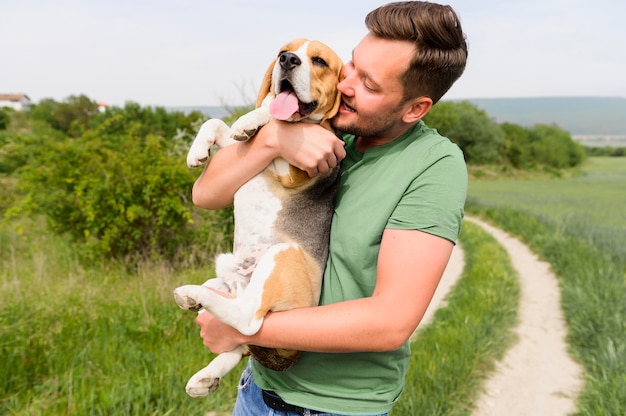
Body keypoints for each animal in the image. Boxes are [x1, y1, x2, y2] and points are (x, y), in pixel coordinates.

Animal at [172, 38, 342, 396]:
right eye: (283, 51)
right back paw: (205, 375)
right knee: (241, 340)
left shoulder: (294, 168)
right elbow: (217, 125)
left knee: (249, 321)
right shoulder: (244, 153)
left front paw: (252, 119)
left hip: (282, 254)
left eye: (319, 60)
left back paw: (193, 294)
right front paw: (199, 149)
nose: (287, 60)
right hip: (225, 274)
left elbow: (273, 119)